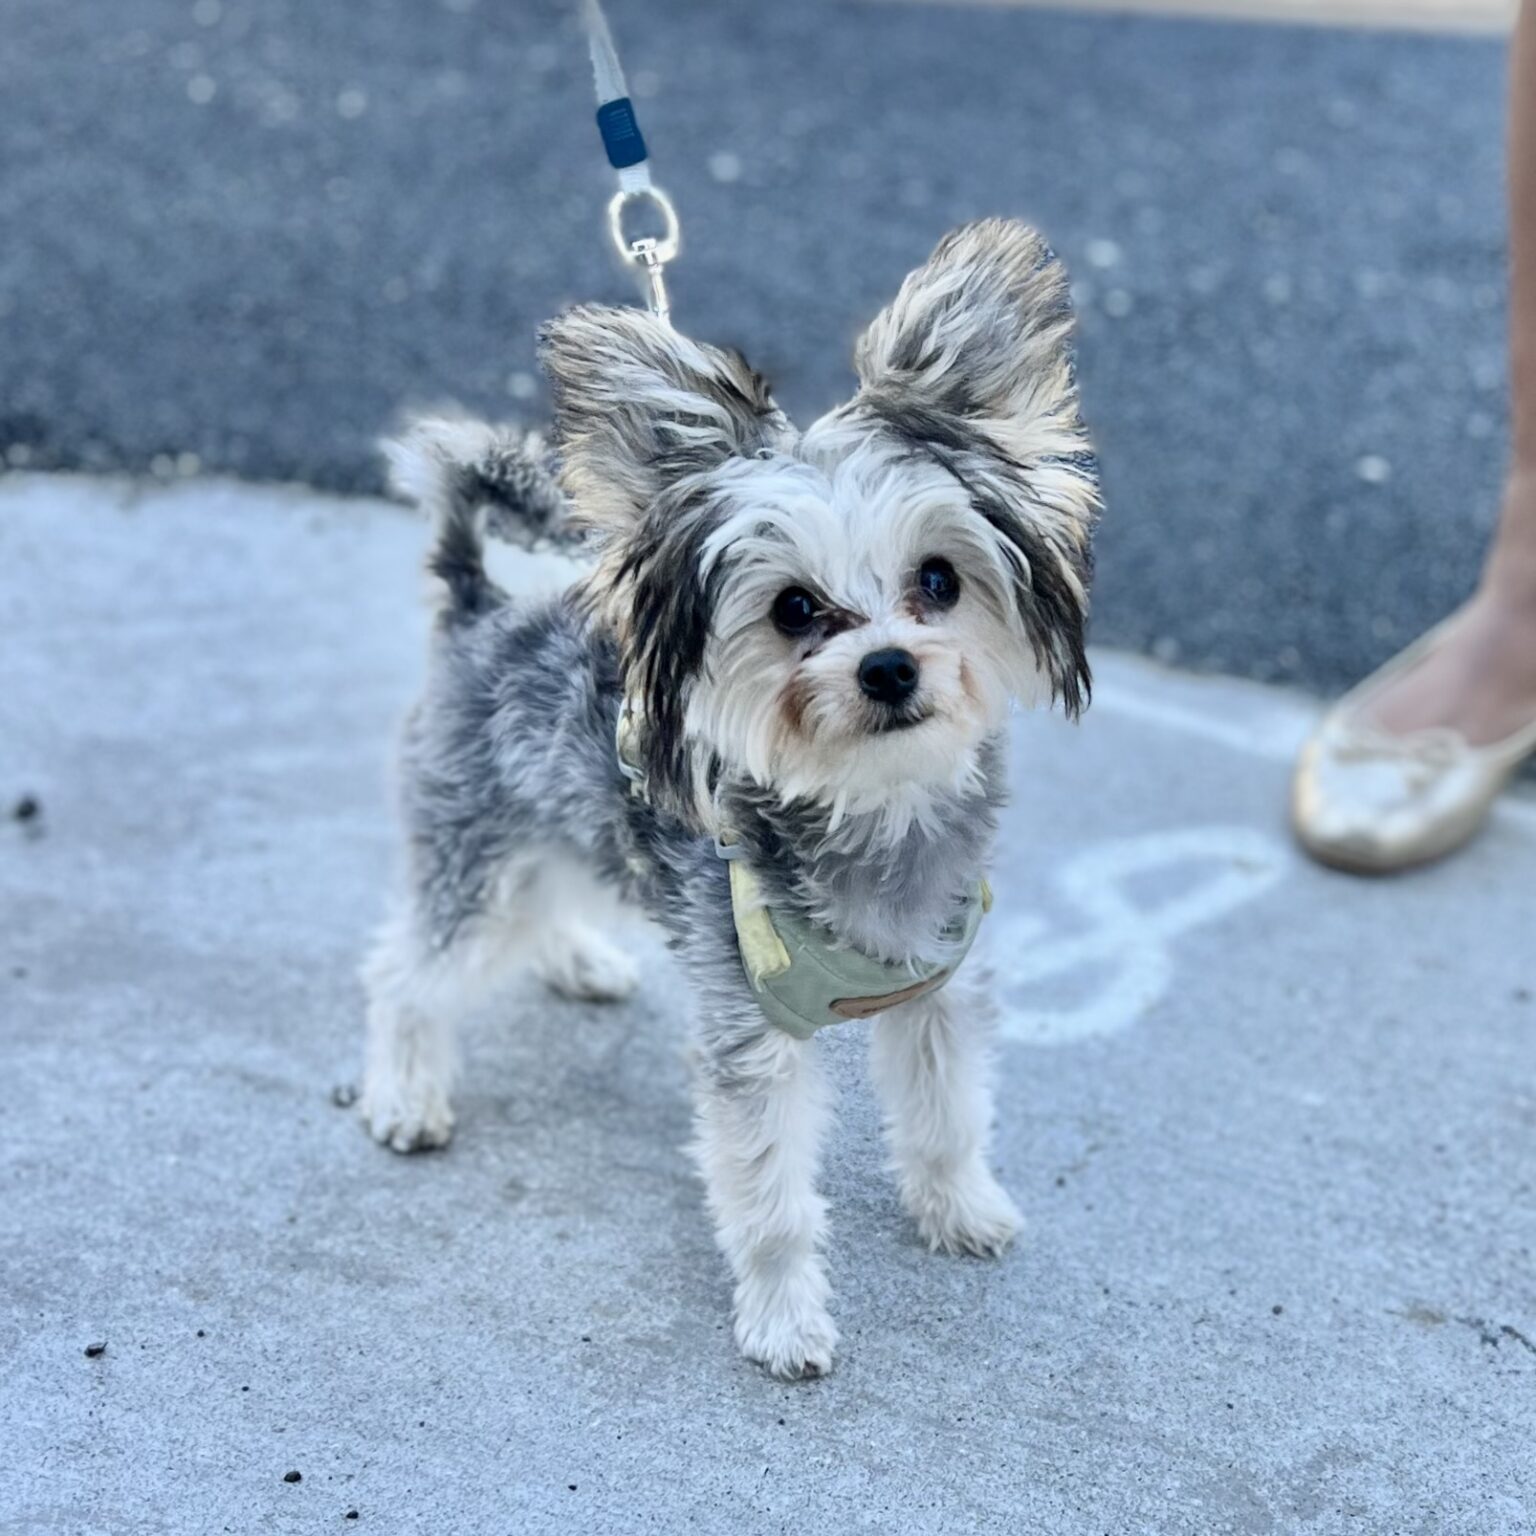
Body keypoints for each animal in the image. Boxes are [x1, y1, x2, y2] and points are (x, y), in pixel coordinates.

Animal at [356, 219, 1105, 1382]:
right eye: (795, 609)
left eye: (939, 580)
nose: (889, 668)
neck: (869, 812)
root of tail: (478, 605)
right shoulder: (752, 1040)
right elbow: (771, 1198)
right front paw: (786, 1316)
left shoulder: (938, 994)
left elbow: (946, 1117)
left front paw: (959, 1209)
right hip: (471, 850)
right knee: (406, 971)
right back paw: (404, 1094)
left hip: (557, 830)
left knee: (549, 895)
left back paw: (577, 960)